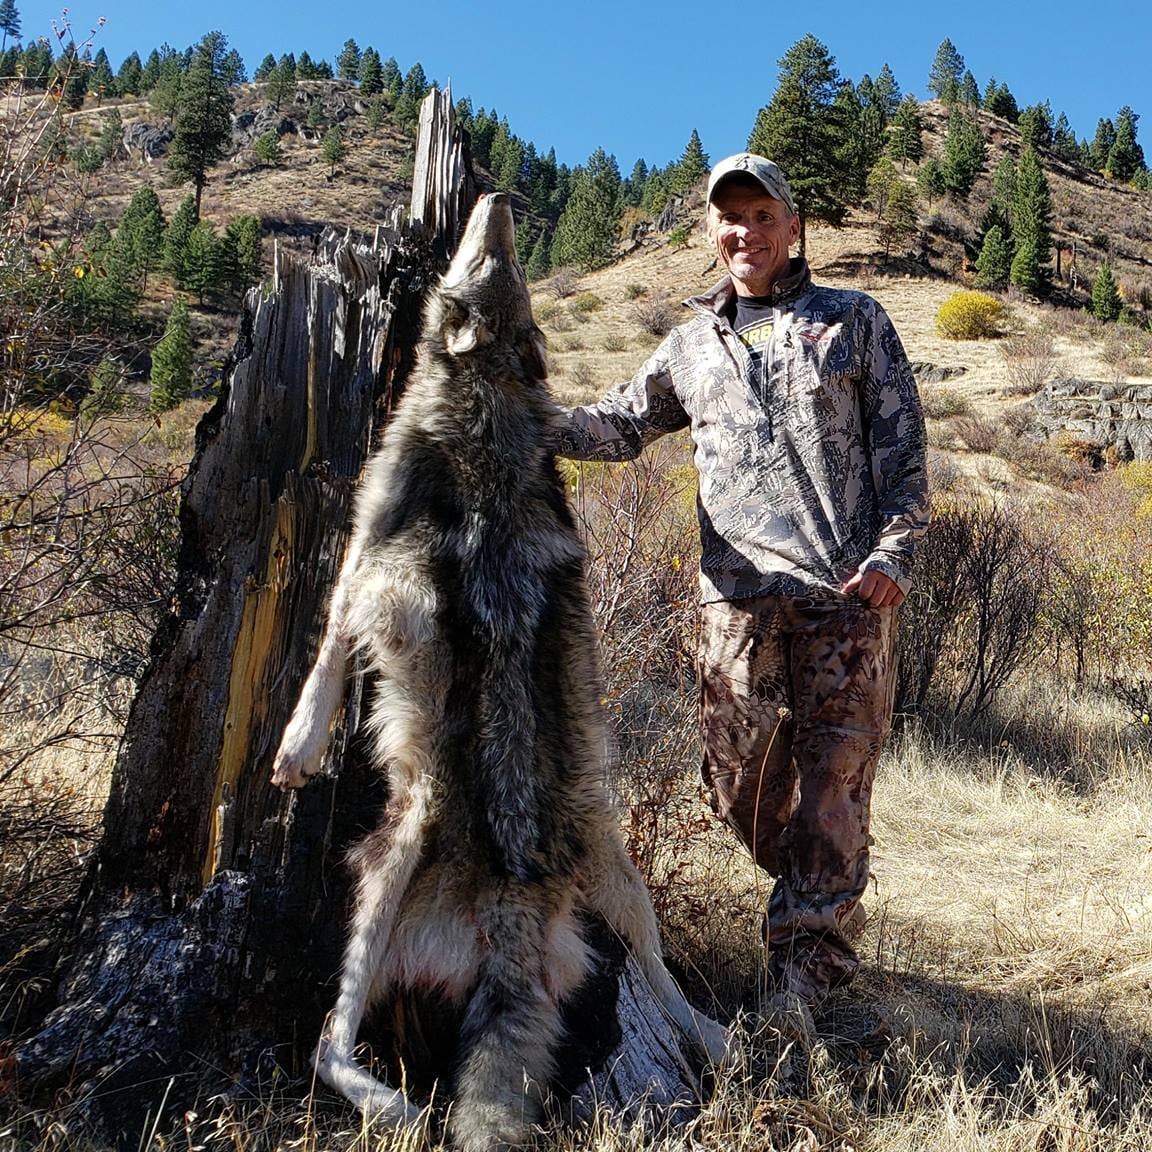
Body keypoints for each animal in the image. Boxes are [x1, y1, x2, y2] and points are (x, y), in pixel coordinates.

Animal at [271, 192, 729, 1151]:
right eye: (500, 265)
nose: (500, 198)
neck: (487, 401)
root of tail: (516, 913)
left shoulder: (365, 560)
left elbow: (326, 649)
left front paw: (294, 750)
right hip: (622, 883)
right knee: (664, 982)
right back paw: (724, 1038)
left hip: (380, 874)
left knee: (330, 1045)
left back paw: (392, 1105)